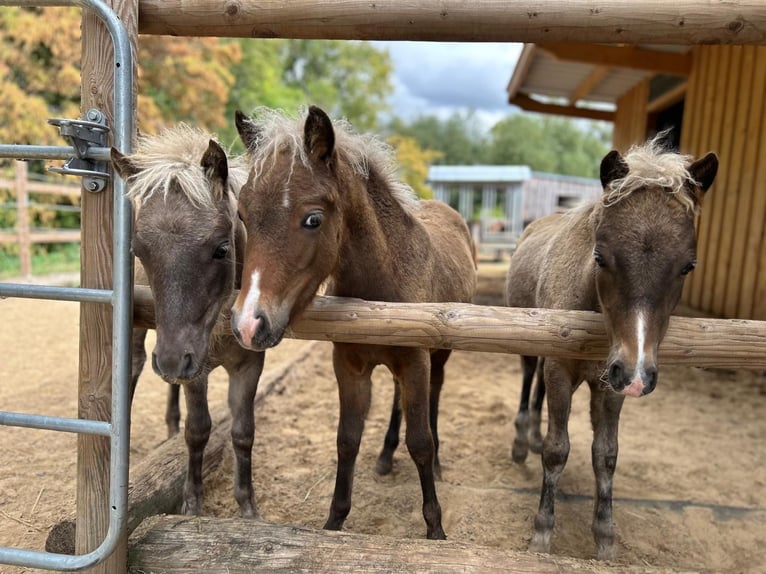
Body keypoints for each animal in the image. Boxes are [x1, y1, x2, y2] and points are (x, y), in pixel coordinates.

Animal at [111, 125, 266, 518]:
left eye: (222, 248)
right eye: (138, 251)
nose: (170, 360)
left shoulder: (248, 365)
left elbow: (243, 432)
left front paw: (247, 506)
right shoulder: (197, 369)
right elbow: (198, 430)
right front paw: (191, 502)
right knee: (136, 366)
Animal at [230, 105, 477, 539]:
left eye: (313, 220)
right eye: (243, 214)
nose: (249, 325)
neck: (380, 288)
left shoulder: (416, 361)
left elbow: (421, 441)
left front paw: (435, 528)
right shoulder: (349, 366)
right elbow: (347, 439)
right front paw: (335, 520)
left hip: (440, 355)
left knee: (433, 399)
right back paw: (385, 456)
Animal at [505, 135, 718, 560]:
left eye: (688, 266)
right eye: (600, 257)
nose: (636, 375)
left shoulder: (610, 385)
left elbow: (605, 455)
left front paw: (604, 539)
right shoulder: (562, 370)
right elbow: (557, 449)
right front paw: (542, 533)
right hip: (532, 347)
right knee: (528, 380)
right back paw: (523, 442)